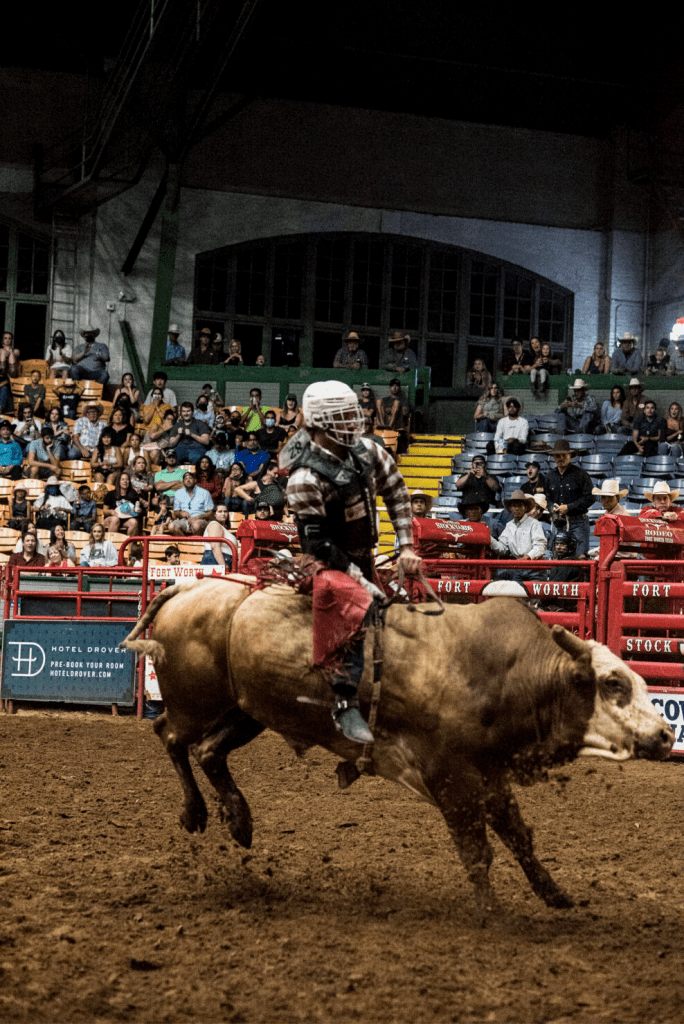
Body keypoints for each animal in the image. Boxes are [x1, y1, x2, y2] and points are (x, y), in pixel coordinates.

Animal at [121, 577, 671, 921]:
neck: (505, 672)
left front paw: (555, 894)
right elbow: (477, 849)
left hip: (246, 711)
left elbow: (519, 838)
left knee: (209, 752)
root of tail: (191, 586)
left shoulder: (490, 772)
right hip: (197, 703)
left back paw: (238, 819)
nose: (667, 735)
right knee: (170, 735)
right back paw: (196, 812)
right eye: (613, 684)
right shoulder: (449, 774)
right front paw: (491, 912)